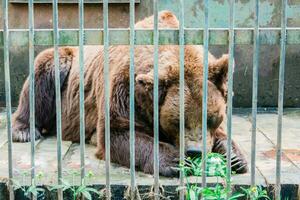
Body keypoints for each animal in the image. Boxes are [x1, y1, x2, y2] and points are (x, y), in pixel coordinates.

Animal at [11, 10, 246, 177]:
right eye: (178, 121)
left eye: (211, 117)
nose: (194, 151)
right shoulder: (125, 91)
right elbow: (119, 132)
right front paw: (174, 161)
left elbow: (222, 135)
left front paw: (235, 158)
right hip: (65, 66)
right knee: (44, 74)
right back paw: (24, 131)